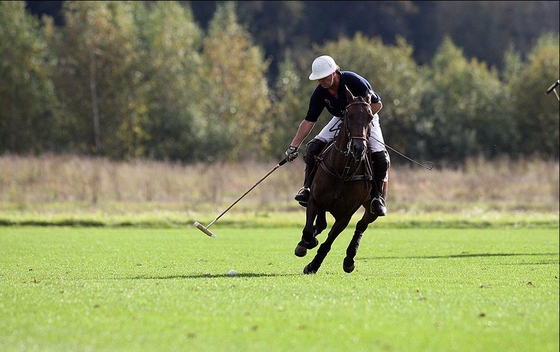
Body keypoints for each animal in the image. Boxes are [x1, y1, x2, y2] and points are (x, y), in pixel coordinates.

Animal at [294, 86, 384, 274]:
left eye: (370, 117)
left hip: (371, 208)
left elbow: (328, 243)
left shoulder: (345, 216)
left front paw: (313, 265)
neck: (343, 170)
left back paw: (349, 259)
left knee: (361, 225)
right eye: (348, 116)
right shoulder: (314, 201)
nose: (358, 148)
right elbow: (308, 231)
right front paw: (306, 244)